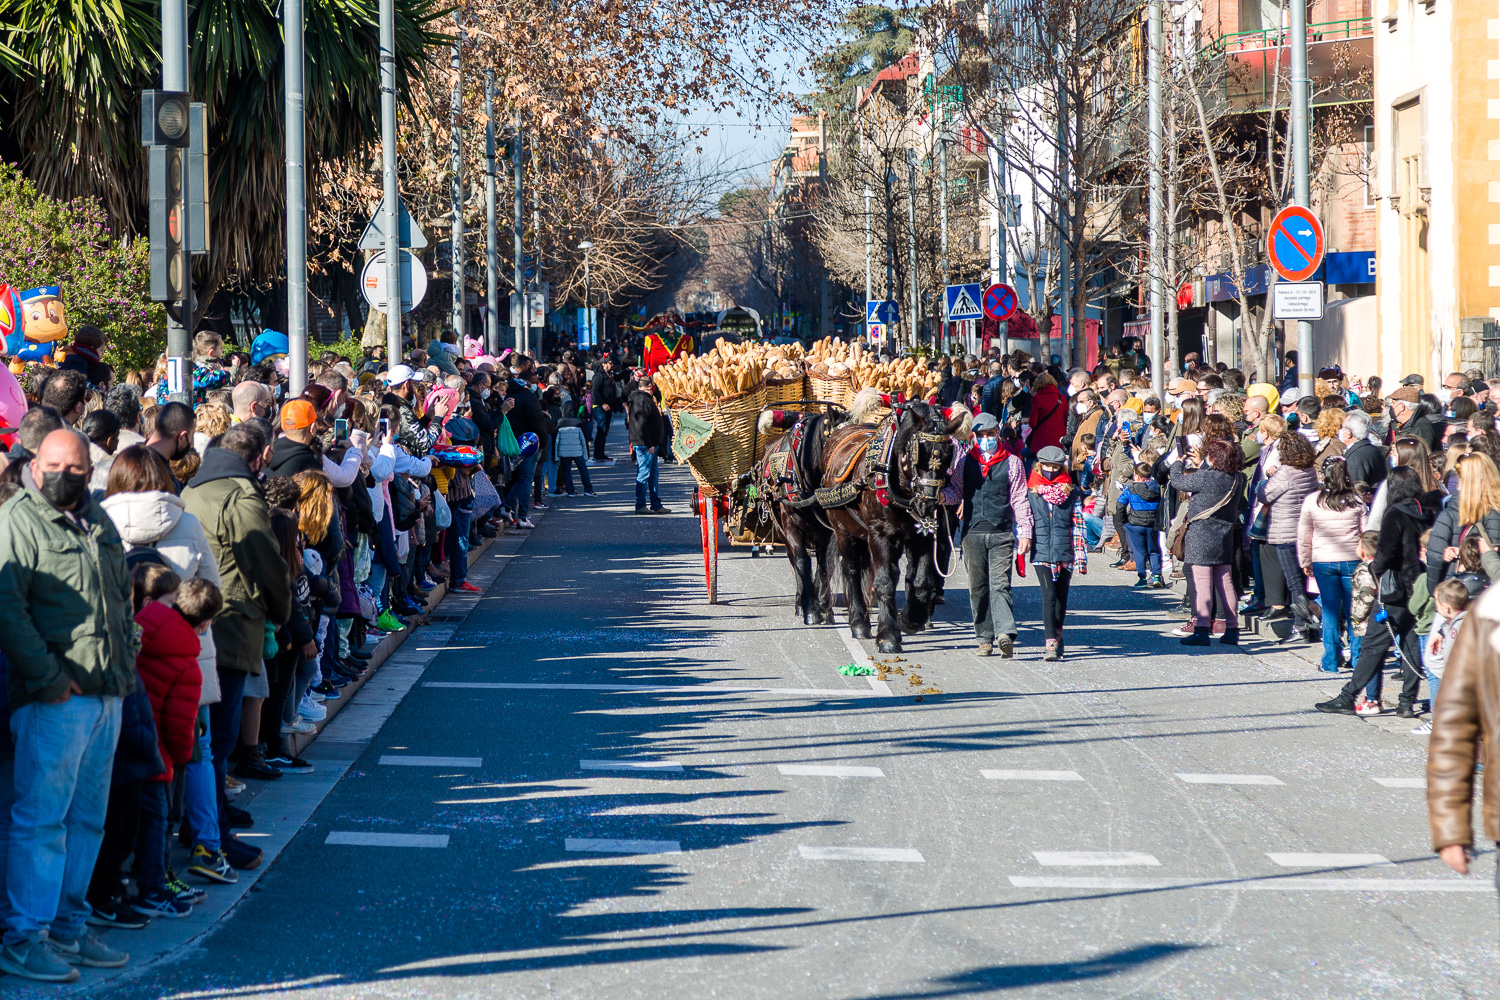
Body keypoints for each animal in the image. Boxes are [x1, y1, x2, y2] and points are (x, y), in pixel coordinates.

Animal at [816, 395, 966, 653]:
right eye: (917, 452)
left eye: (948, 454)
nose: (927, 503)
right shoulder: (880, 535)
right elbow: (885, 581)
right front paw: (887, 636)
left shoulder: (922, 536)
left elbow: (921, 582)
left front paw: (911, 620)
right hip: (844, 531)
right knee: (851, 571)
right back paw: (859, 622)